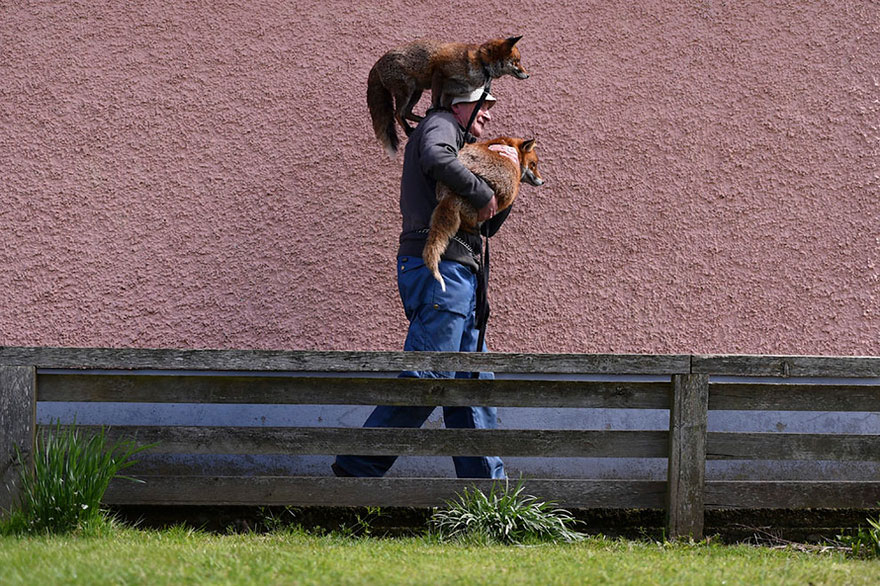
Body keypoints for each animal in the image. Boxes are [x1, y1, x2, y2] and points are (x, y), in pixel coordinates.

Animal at [367, 36, 529, 156]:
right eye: (516, 62)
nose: (528, 75)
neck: (480, 63)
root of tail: (377, 63)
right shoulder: (439, 73)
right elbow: (436, 101)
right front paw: (436, 112)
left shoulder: (451, 91)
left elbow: (447, 107)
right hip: (408, 90)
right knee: (397, 113)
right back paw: (408, 129)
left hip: (417, 92)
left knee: (407, 112)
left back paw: (420, 120)